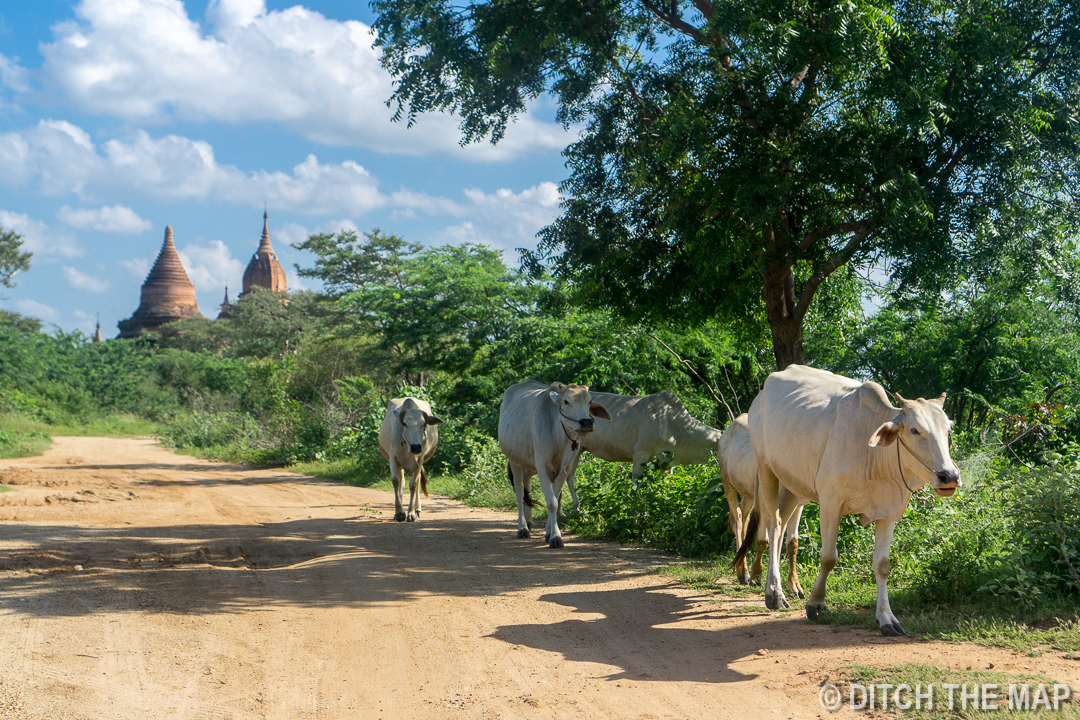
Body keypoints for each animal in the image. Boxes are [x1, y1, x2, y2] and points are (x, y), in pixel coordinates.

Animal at [494, 382, 609, 546]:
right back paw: (523, 527)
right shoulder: (543, 468)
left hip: (529, 464)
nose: (586, 422)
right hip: (514, 460)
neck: (558, 436)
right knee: (520, 491)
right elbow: (552, 503)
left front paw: (549, 532)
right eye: (566, 402)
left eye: (589, 401)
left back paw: (529, 521)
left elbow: (555, 497)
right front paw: (556, 537)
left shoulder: (564, 470)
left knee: (527, 486)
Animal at [717, 414, 803, 595]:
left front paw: (795, 586)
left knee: (743, 517)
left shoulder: (799, 505)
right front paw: (756, 574)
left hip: (749, 493)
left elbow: (792, 543)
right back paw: (743, 571)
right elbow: (763, 540)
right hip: (727, 482)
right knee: (737, 519)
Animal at [738, 367, 959, 634]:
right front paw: (816, 603)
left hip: (792, 484)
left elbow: (882, 564)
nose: (949, 476)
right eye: (915, 430)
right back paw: (774, 593)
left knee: (781, 531)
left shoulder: (888, 511)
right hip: (766, 469)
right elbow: (828, 558)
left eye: (948, 431)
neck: (872, 454)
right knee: (773, 524)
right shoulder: (830, 504)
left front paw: (887, 618)